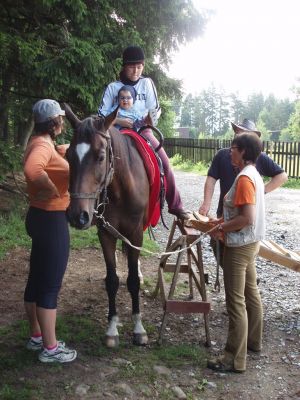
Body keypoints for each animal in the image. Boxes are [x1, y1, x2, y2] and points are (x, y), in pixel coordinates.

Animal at [64, 105, 151, 346]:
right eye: (68, 156)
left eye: (101, 156)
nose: (77, 216)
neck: (120, 189)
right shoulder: (105, 233)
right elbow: (111, 280)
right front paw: (112, 328)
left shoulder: (135, 233)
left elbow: (132, 280)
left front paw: (138, 328)